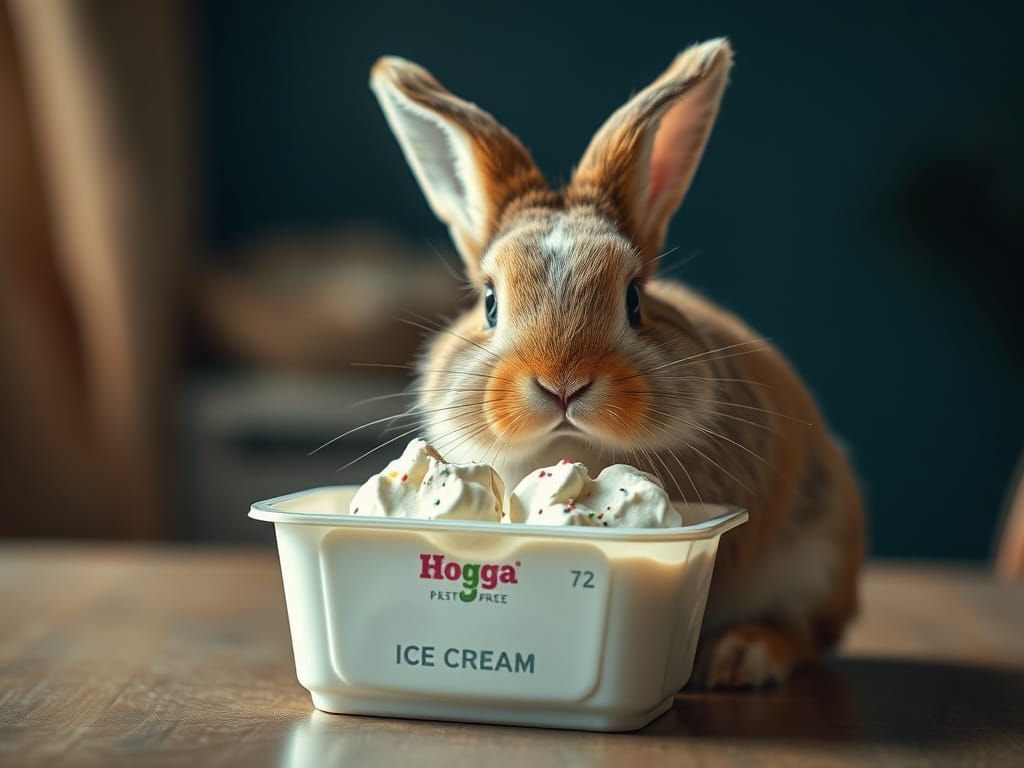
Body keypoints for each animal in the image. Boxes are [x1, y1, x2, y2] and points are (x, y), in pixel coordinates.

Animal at [370, 37, 864, 689]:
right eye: (489, 301)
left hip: (821, 555)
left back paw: (741, 656)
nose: (562, 384)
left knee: (806, 634)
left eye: (634, 300)